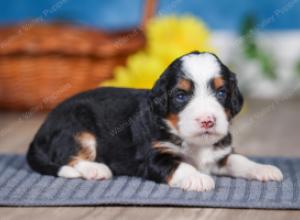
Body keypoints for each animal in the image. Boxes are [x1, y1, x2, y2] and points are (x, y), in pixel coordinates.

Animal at [27, 51, 282, 191]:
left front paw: (264, 169)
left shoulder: (220, 153)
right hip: (76, 127)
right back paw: (96, 169)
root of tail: (41, 129)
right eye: (181, 96)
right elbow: (180, 165)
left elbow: (239, 160)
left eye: (221, 92)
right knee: (69, 156)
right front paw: (198, 178)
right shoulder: (154, 156)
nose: (207, 121)